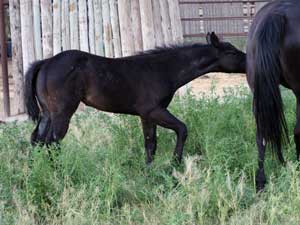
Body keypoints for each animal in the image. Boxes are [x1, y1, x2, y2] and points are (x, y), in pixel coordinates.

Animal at [25, 32, 246, 163]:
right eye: (231, 51)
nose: (249, 62)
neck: (163, 70)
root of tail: (45, 63)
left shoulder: (146, 115)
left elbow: (150, 144)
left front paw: (150, 172)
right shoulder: (153, 110)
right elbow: (181, 129)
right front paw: (174, 163)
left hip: (47, 113)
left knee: (37, 140)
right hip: (63, 112)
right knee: (53, 142)